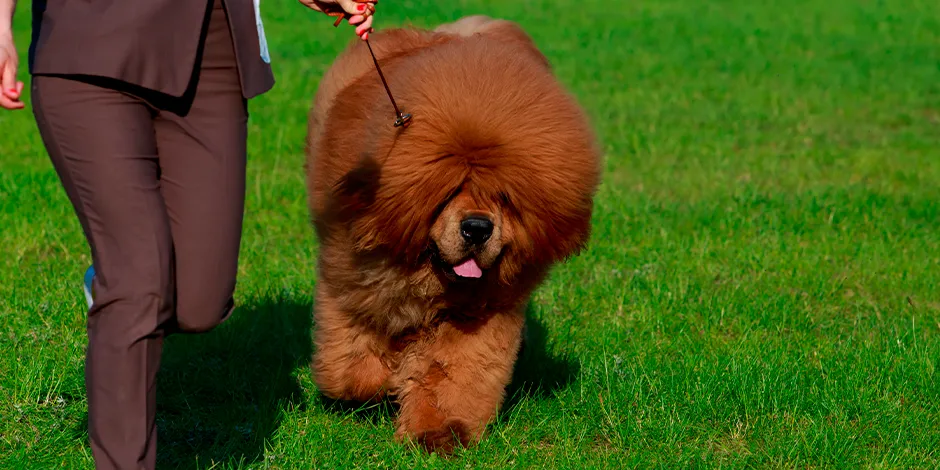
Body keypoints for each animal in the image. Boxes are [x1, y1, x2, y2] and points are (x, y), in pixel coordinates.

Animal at [306, 16, 604, 454]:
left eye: (504, 197)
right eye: (448, 189)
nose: (478, 227)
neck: (422, 275)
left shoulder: (482, 313)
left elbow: (455, 374)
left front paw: (438, 434)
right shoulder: (347, 281)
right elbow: (350, 365)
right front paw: (381, 383)